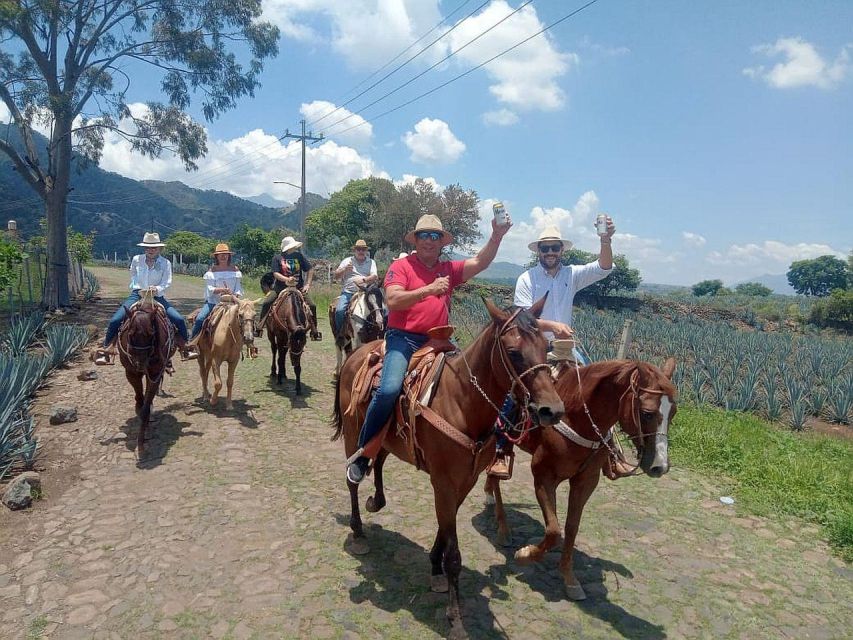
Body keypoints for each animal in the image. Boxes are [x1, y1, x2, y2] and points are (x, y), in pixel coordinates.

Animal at [115, 296, 177, 456]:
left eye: (151, 334)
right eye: (130, 334)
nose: (140, 364)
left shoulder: (155, 374)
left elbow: (146, 407)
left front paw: (141, 443)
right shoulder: (132, 373)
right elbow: (140, 400)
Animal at [332, 298, 564, 640]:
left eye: (546, 346)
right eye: (513, 351)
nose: (553, 410)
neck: (462, 403)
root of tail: (358, 353)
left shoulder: (465, 481)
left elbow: (445, 527)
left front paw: (434, 568)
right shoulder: (442, 482)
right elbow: (453, 552)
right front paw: (455, 618)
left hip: (387, 438)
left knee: (380, 461)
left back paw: (377, 501)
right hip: (352, 433)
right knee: (353, 478)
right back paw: (358, 530)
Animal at [482, 360, 676, 600]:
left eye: (673, 413)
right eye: (647, 413)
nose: (660, 466)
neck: (577, 417)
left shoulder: (586, 481)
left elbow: (571, 527)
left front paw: (569, 578)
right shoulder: (544, 476)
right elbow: (554, 530)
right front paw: (525, 554)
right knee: (495, 474)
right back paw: (503, 529)